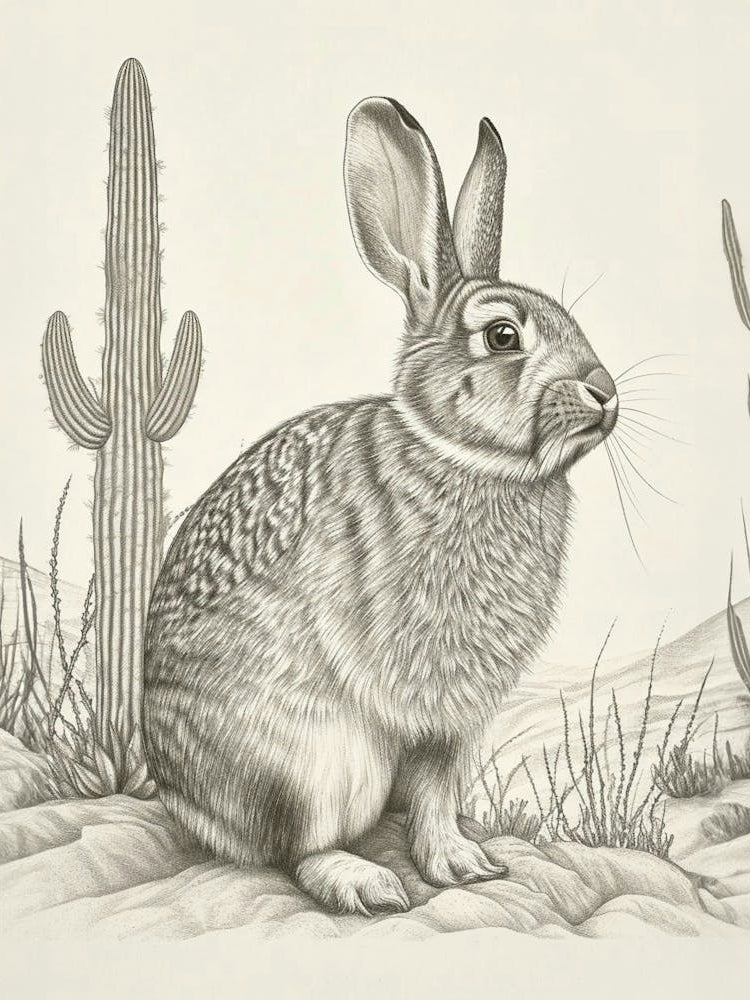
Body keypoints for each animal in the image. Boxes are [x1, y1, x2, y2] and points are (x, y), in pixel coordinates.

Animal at [143, 96, 618, 916]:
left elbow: (434, 790)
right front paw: (448, 865)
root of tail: (182, 798)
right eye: (502, 335)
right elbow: (424, 787)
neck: (463, 454)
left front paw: (465, 863)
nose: (606, 392)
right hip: (307, 760)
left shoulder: (454, 723)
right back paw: (365, 883)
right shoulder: (422, 696)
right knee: (292, 846)